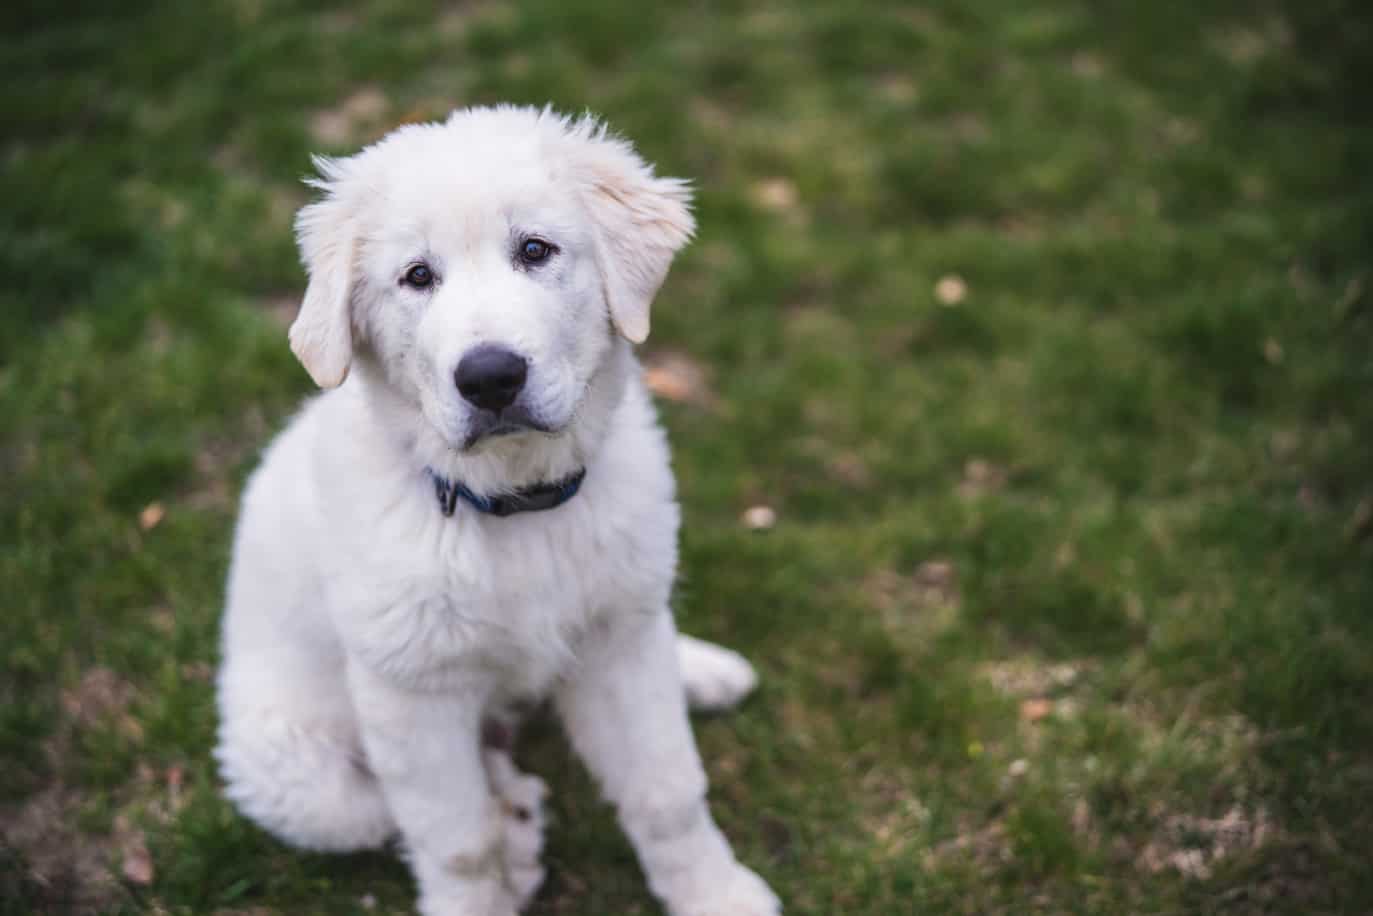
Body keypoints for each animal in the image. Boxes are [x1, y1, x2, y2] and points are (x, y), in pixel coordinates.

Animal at [214, 105, 781, 916]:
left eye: (535, 251)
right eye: (417, 276)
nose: (489, 378)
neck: (516, 503)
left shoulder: (618, 648)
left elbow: (667, 793)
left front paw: (715, 894)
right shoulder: (410, 694)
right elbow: (458, 842)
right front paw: (482, 885)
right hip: (294, 774)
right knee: (394, 809)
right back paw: (516, 819)